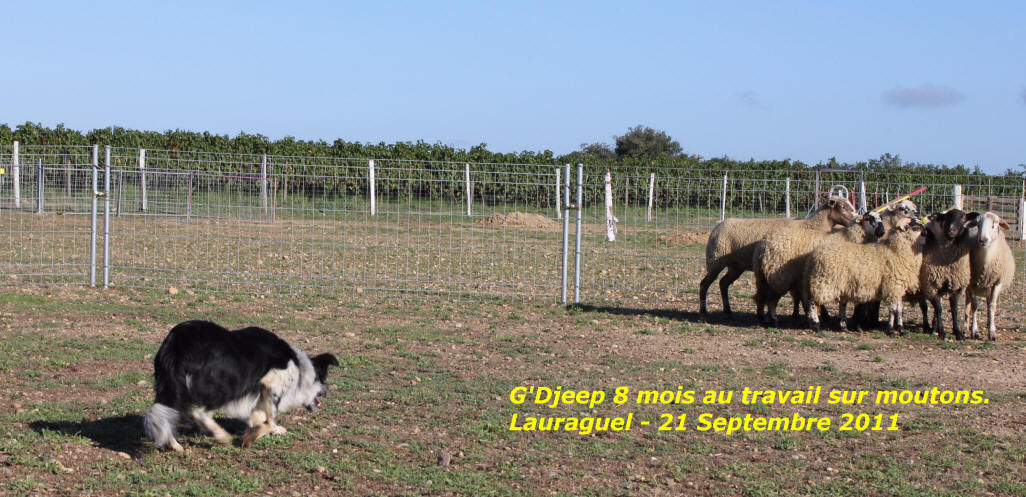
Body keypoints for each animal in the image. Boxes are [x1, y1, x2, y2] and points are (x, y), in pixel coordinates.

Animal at [697, 196, 857, 320]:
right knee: (705, 284)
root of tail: (718, 226)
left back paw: (728, 311)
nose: (856, 219)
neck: (811, 226)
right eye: (843, 207)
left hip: (736, 265)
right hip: (716, 260)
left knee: (723, 283)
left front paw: (798, 313)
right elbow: (798, 294)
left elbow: (797, 294)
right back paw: (703, 312)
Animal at [751, 209, 886, 326]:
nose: (882, 231)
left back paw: (766, 317)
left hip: (764, 275)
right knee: (770, 298)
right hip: (780, 275)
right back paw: (770, 319)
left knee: (762, 296)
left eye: (881, 217)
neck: (850, 237)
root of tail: (765, 243)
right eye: (869, 218)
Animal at [964, 209, 1013, 340]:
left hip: (989, 288)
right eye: (977, 224)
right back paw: (965, 327)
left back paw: (988, 323)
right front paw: (975, 331)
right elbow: (974, 305)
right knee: (967, 303)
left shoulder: (998, 282)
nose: (983, 240)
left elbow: (992, 306)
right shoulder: (970, 283)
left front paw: (992, 332)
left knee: (987, 302)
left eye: (994, 224)